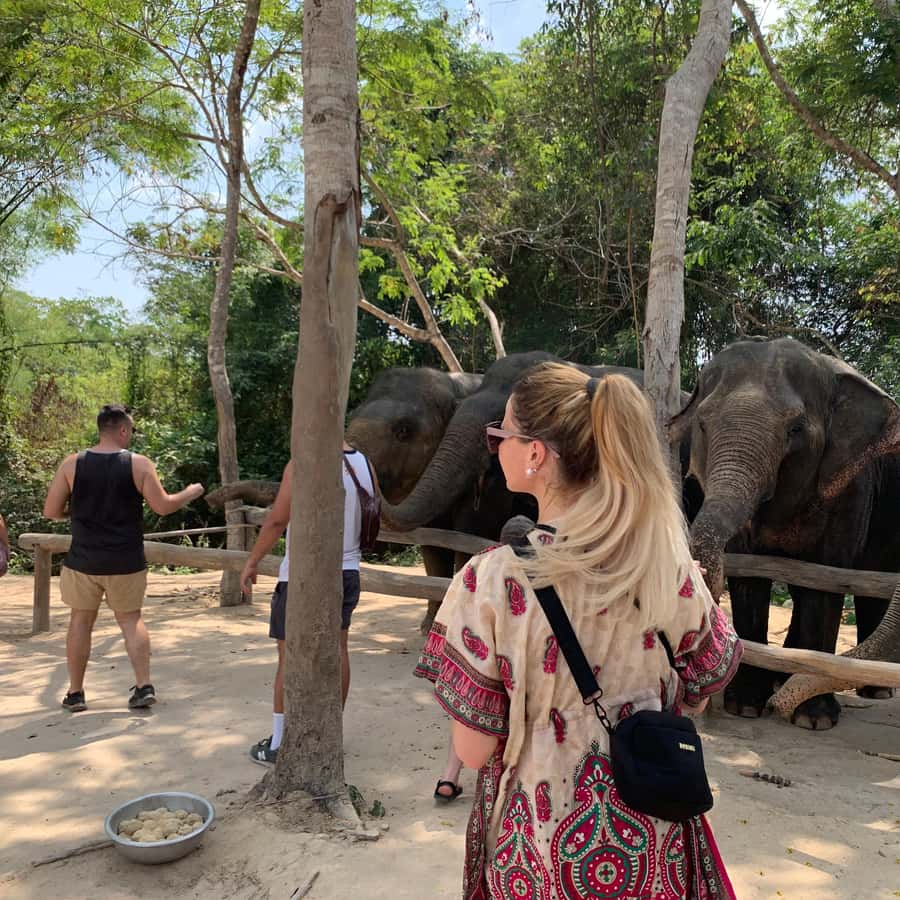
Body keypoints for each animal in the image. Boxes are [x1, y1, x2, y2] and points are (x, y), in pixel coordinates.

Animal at [669, 337, 900, 730]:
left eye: (796, 430)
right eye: (702, 423)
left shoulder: (851, 486)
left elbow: (826, 580)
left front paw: (814, 719)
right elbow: (750, 578)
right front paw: (744, 706)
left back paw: (875, 691)